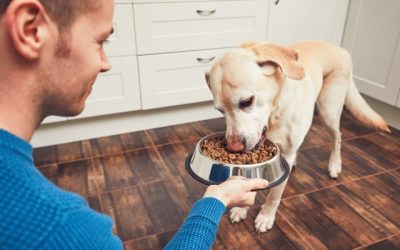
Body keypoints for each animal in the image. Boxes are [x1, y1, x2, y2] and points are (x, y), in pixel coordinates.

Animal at [205, 40, 390, 233]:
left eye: (246, 101)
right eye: (220, 110)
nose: (233, 148)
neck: (275, 112)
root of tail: (339, 48)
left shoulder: (285, 154)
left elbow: (275, 194)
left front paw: (266, 217)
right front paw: (242, 209)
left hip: (328, 110)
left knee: (337, 136)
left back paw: (334, 164)